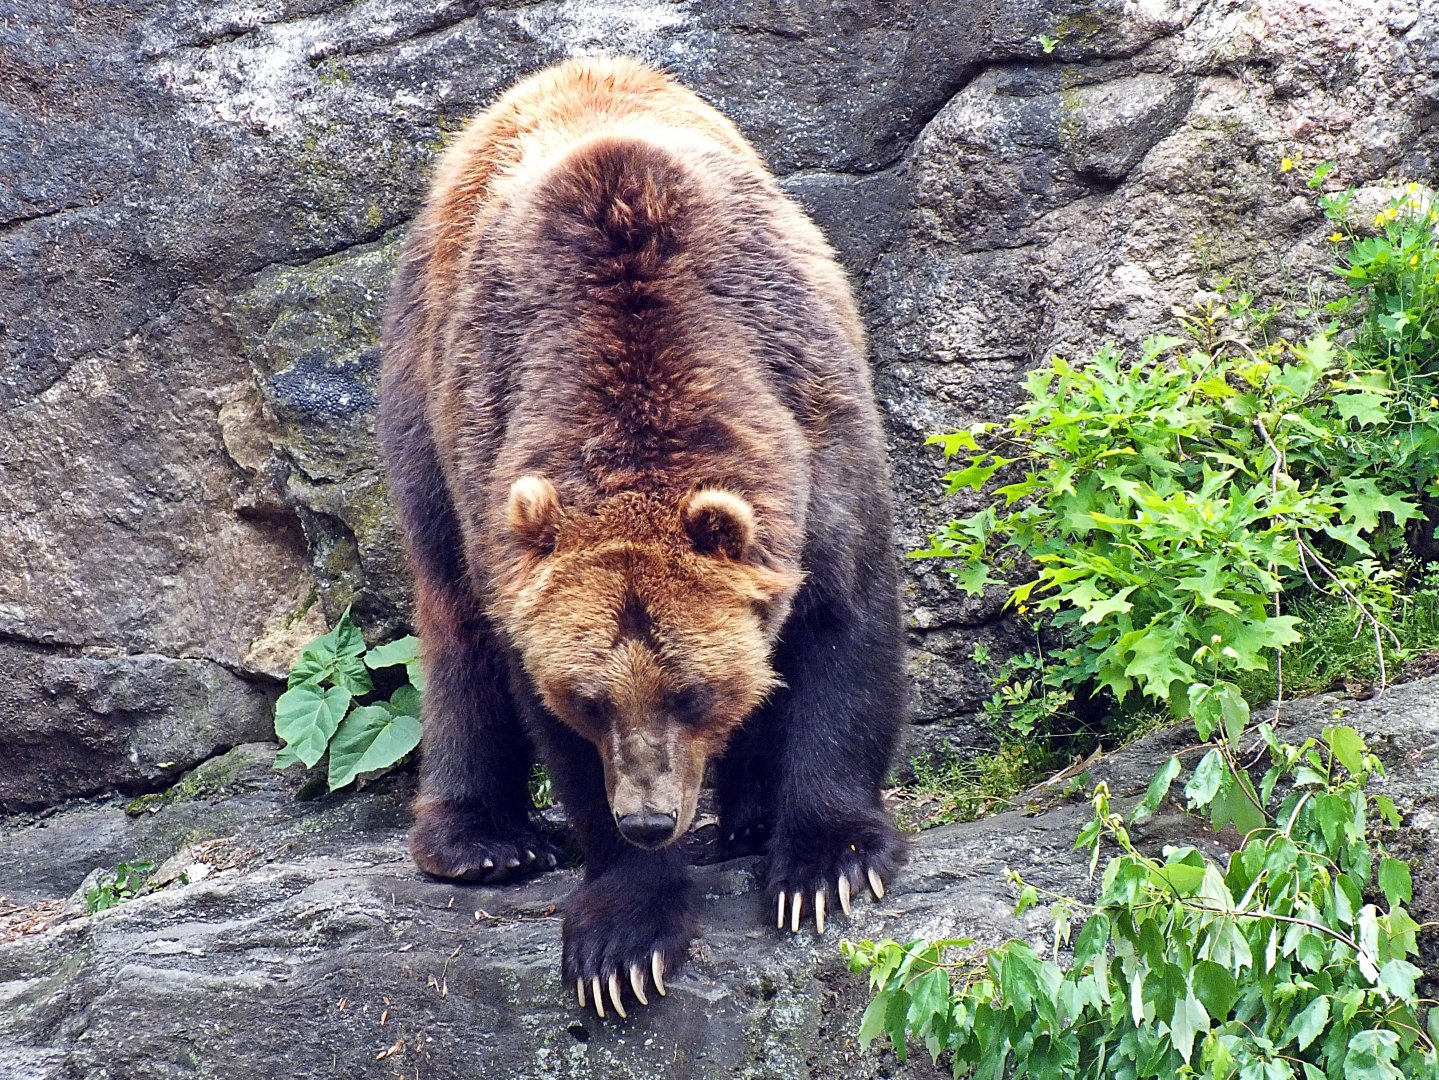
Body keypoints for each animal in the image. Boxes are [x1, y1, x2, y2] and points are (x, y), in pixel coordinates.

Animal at [378, 56, 907, 1018]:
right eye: (592, 700)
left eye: (693, 692)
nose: (653, 817)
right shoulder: (501, 486)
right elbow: (539, 702)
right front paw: (622, 938)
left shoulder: (813, 431)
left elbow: (841, 630)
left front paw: (825, 865)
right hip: (420, 403)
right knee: (451, 617)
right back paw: (483, 840)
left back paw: (748, 816)